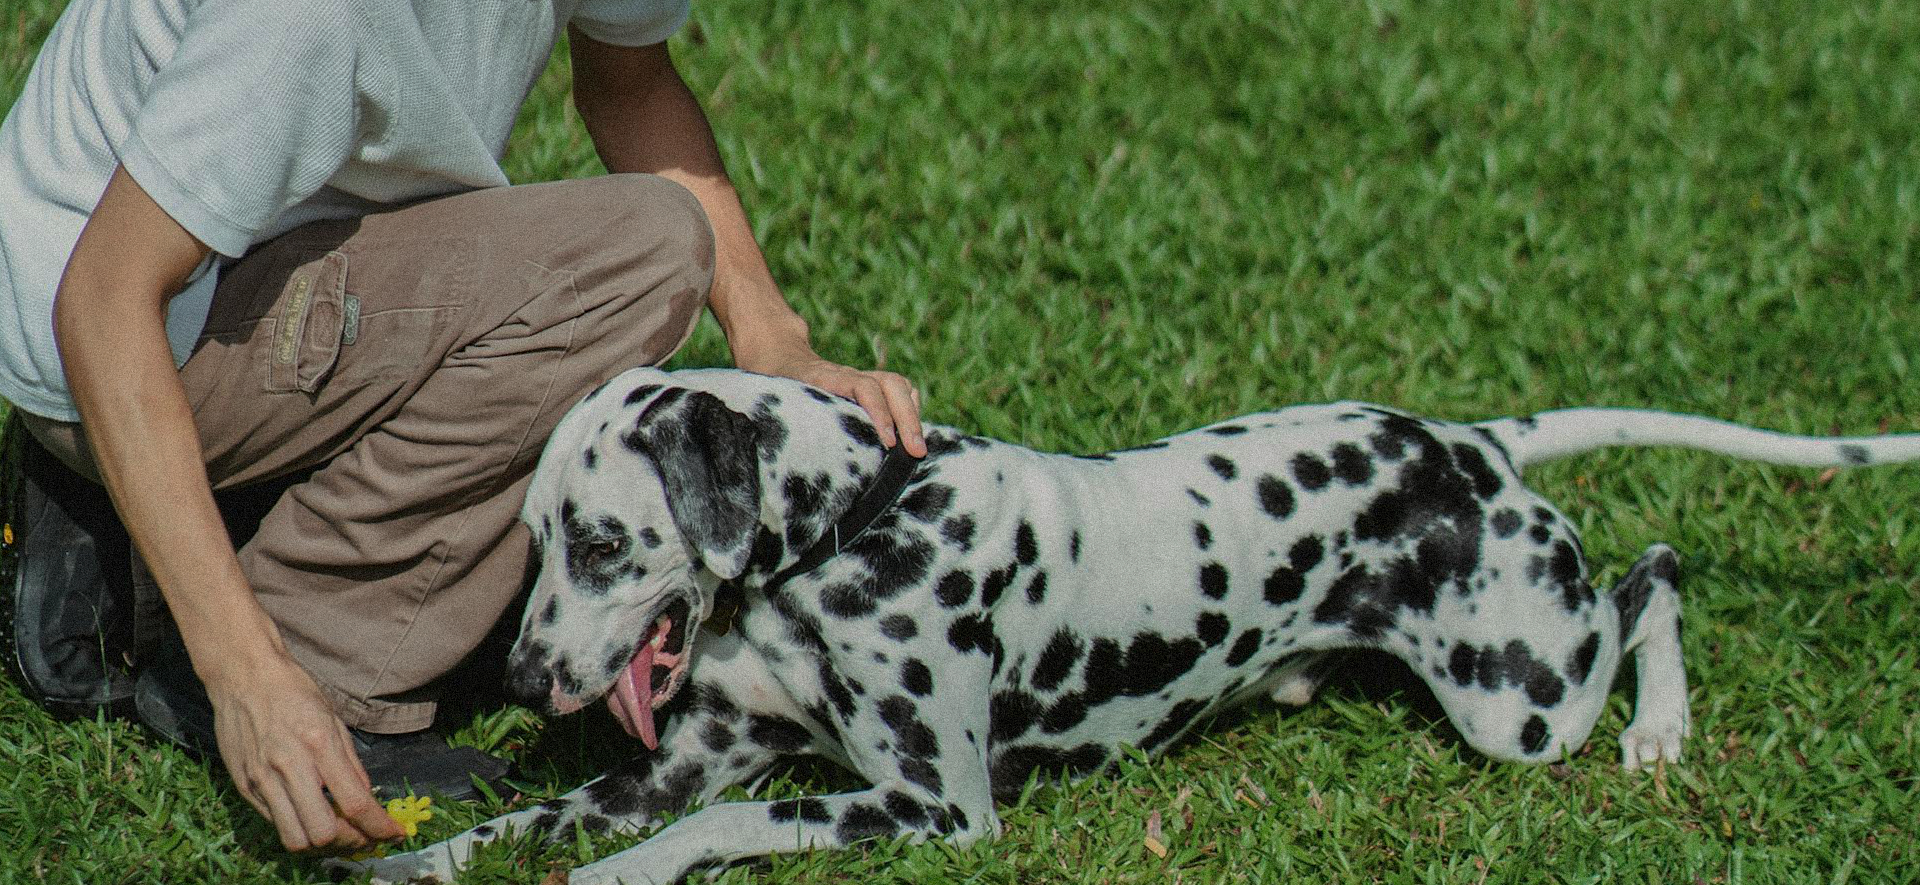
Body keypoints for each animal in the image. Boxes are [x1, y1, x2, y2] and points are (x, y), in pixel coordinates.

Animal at [345, 364, 1920, 883]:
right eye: (535, 541)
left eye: (604, 541)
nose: (527, 678)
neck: (861, 528)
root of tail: (1467, 445)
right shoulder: (677, 759)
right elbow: (525, 822)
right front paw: (408, 863)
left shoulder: (930, 810)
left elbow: (721, 826)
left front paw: (624, 878)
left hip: (1523, 694)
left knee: (1658, 574)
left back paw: (1660, 733)